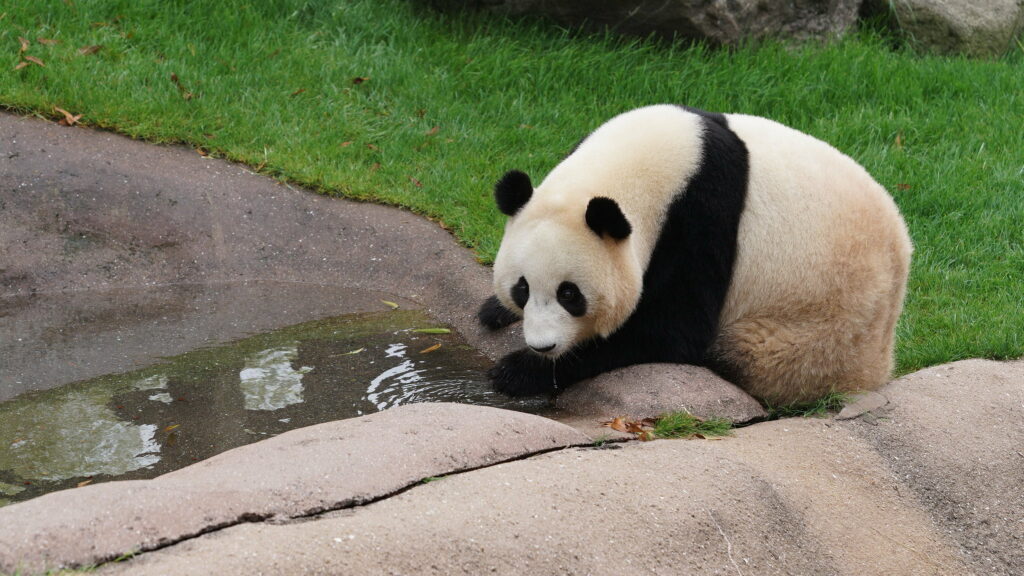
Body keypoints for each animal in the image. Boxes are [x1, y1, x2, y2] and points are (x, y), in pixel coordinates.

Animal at [478, 104, 912, 406]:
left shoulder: (703, 215)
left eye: (570, 294)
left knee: (745, 353)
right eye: (522, 288)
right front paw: (494, 311)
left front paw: (520, 371)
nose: (542, 346)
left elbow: (674, 330)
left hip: (815, 335)